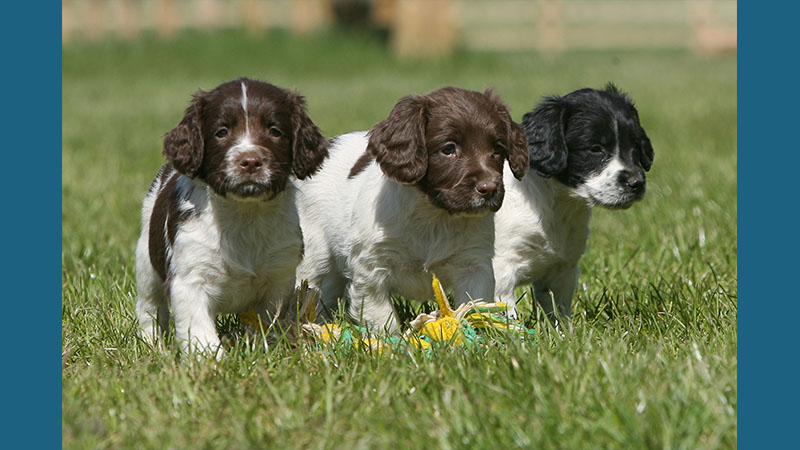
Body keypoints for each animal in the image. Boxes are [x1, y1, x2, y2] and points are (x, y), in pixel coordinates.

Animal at [134, 76, 328, 356]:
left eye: (275, 131)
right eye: (221, 132)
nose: (250, 161)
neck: (244, 213)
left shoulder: (278, 279)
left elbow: (264, 323)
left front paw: (261, 349)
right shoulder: (190, 277)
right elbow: (199, 330)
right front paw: (210, 359)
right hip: (147, 263)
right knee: (150, 308)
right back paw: (152, 346)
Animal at [290, 86, 528, 332]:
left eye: (497, 149)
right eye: (448, 149)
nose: (489, 188)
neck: (433, 215)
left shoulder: (474, 263)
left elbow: (474, 305)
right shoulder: (372, 268)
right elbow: (382, 318)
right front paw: (393, 340)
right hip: (315, 254)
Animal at [494, 84, 656, 322]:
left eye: (635, 146)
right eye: (595, 148)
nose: (637, 183)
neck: (557, 205)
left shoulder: (563, 269)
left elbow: (559, 313)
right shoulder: (500, 270)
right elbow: (504, 318)